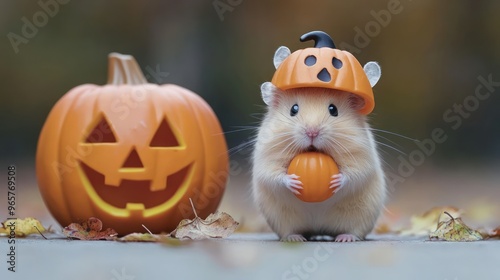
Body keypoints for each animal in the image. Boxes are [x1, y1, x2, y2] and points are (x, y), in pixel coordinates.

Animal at [254, 47, 386, 242]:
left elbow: (355, 174)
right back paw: (295, 238)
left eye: (333, 110)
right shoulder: (267, 156)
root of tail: (319, 230)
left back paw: (345, 238)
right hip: (281, 219)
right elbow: (274, 175)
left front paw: (336, 180)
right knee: (289, 231)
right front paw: (293, 181)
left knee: (355, 231)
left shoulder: (362, 155)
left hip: (363, 215)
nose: (312, 132)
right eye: (293, 109)